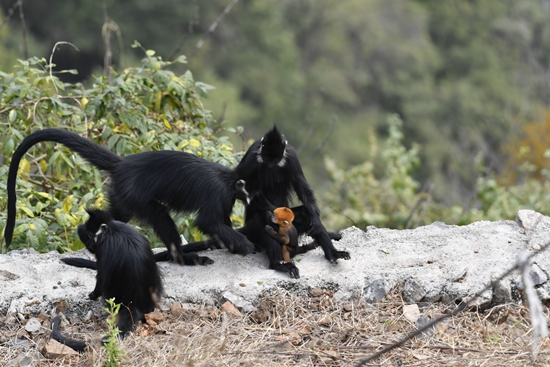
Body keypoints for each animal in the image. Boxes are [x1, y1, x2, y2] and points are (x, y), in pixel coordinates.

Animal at [4, 129, 256, 264]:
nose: (253, 200)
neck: (230, 179)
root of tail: (123, 164)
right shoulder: (218, 192)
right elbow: (208, 222)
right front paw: (243, 243)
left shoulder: (226, 198)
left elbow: (219, 224)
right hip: (132, 192)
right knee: (157, 212)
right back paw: (180, 256)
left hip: (121, 195)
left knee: (113, 216)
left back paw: (86, 232)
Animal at [51, 208, 164, 352]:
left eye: (90, 235)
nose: (90, 245)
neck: (111, 230)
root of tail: (134, 303)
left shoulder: (104, 248)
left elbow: (101, 277)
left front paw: (93, 295)